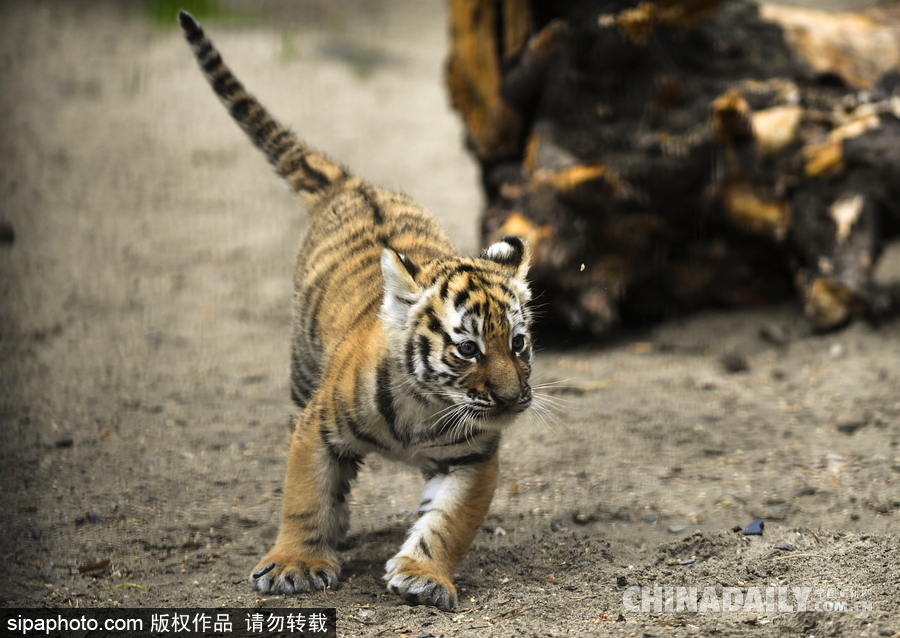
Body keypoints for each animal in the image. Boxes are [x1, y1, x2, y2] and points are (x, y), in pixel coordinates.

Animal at [178, 11, 534, 611]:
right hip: (301, 374)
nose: (511, 400)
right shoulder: (316, 428)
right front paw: (295, 564)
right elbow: (305, 496)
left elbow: (449, 522)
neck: (425, 409)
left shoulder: (474, 458)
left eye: (518, 343)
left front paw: (423, 575)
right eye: (467, 349)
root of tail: (355, 183)